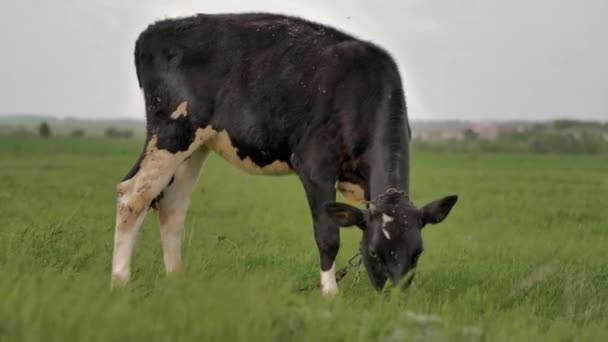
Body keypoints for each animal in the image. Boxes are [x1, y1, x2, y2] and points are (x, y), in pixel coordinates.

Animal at [111, 13, 458, 296]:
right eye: (374, 252)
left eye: (417, 252)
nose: (396, 296)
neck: (362, 91)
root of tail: (156, 29)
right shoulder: (315, 166)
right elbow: (328, 234)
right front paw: (330, 293)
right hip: (171, 132)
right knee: (133, 196)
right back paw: (120, 280)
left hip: (196, 144)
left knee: (171, 205)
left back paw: (176, 279)